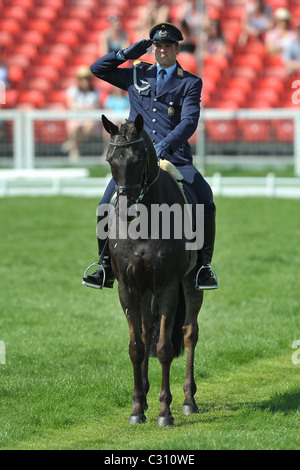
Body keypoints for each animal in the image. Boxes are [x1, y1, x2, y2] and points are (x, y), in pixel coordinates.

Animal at [101, 114, 204, 426]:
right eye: (110, 159)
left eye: (137, 158)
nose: (125, 211)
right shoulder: (128, 288)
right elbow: (136, 347)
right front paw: (137, 408)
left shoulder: (168, 286)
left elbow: (164, 349)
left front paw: (164, 412)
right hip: (145, 289)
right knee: (147, 332)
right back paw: (145, 397)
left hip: (191, 283)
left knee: (189, 332)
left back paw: (188, 400)